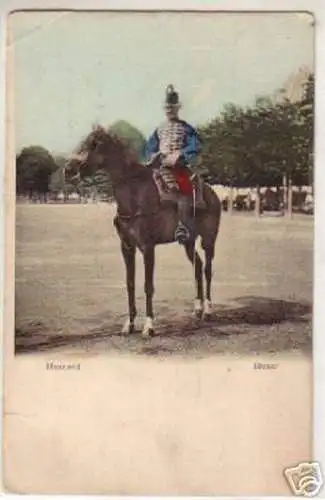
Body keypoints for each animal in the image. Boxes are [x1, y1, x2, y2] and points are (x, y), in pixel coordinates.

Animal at [67, 124, 221, 340]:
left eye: (94, 144)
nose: (68, 169)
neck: (134, 195)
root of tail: (212, 194)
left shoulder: (148, 247)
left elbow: (148, 286)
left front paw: (149, 326)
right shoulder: (127, 247)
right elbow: (130, 284)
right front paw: (129, 324)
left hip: (209, 239)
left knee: (207, 269)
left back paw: (208, 310)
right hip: (188, 241)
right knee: (198, 266)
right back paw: (197, 309)